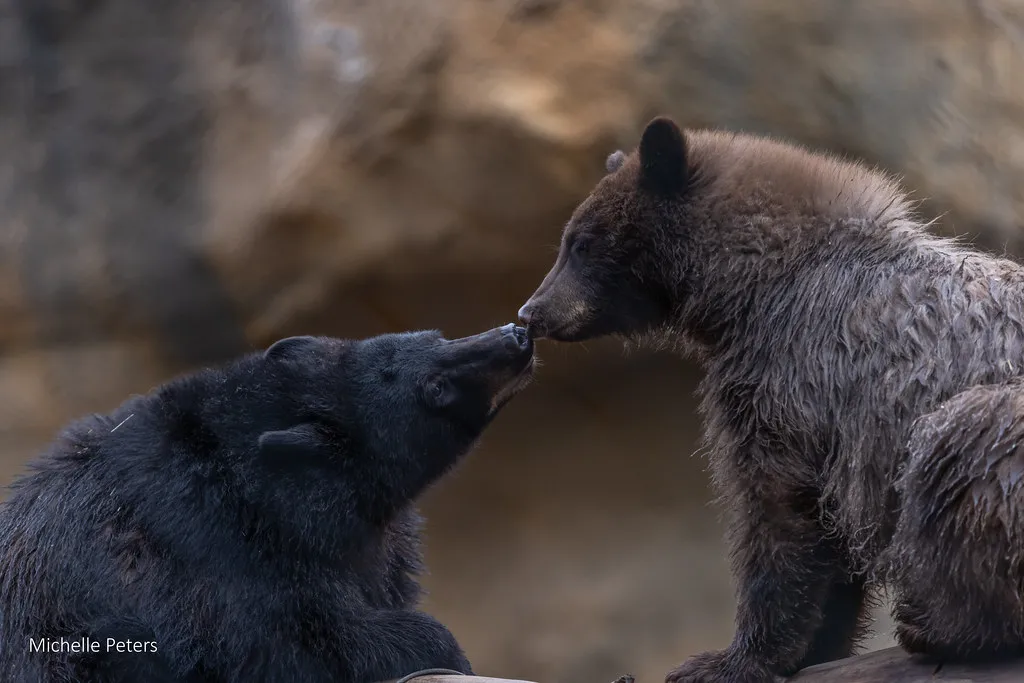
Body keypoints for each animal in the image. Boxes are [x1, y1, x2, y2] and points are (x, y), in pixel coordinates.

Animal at [0, 324, 536, 682]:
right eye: (434, 389)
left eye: (438, 336)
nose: (517, 336)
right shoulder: (211, 545)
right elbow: (286, 642)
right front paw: (437, 646)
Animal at [517, 115, 1024, 682]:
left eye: (582, 243)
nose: (530, 312)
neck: (759, 283)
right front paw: (818, 646)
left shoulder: (789, 381)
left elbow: (778, 515)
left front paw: (727, 659)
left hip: (993, 426)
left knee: (956, 454)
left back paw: (940, 626)